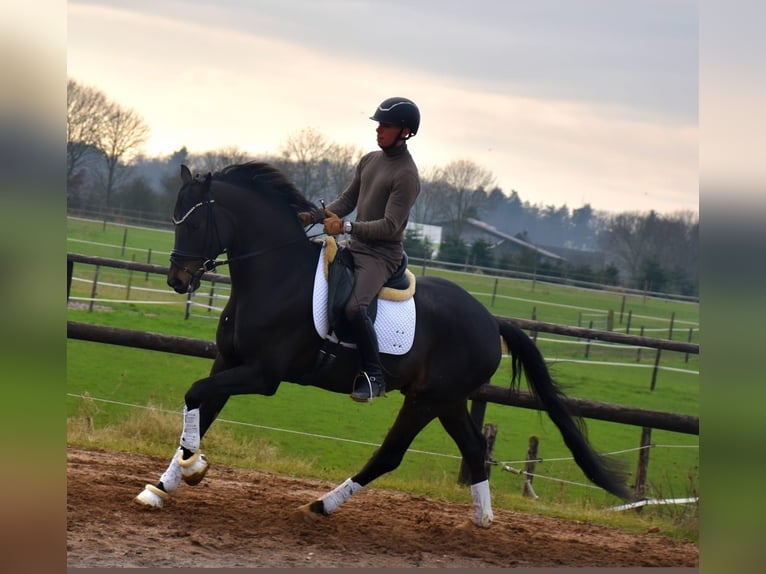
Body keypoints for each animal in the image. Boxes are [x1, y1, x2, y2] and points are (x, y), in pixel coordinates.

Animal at [135, 161, 632, 528]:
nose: (178, 279)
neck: (276, 275)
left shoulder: (262, 374)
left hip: (428, 400)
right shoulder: (227, 362)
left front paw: (193, 469)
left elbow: (197, 396)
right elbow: (200, 406)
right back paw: (481, 520)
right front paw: (164, 485)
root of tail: (491, 321)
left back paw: (323, 505)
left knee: (392, 454)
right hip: (447, 400)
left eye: (194, 222)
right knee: (474, 451)